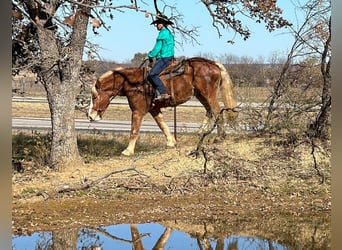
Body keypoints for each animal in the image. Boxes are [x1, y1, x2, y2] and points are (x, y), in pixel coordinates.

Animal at [88, 57, 238, 155]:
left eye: (95, 97)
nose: (90, 115)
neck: (132, 82)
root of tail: (213, 64)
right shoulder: (154, 109)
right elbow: (162, 124)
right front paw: (171, 142)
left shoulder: (138, 111)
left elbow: (134, 130)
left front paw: (128, 150)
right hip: (201, 95)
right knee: (209, 111)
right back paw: (201, 132)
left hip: (209, 95)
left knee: (217, 111)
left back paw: (219, 137)